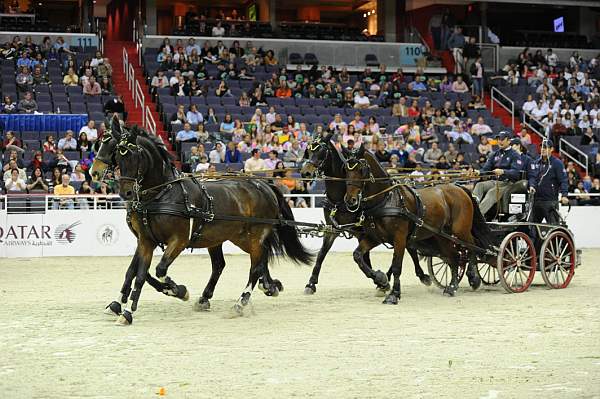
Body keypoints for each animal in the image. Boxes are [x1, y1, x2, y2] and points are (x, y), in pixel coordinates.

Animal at [92, 119, 314, 324]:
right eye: (118, 154)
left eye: (132, 155)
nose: (125, 192)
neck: (162, 193)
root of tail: (264, 185)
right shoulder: (146, 240)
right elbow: (137, 273)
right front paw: (123, 310)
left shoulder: (178, 241)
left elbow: (158, 270)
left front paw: (177, 290)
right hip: (232, 237)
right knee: (233, 262)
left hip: (253, 235)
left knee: (255, 266)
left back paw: (241, 302)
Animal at [300, 134, 432, 294]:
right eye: (308, 151)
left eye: (321, 152)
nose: (305, 172)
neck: (340, 198)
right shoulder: (332, 229)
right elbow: (322, 253)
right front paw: (311, 283)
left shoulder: (363, 232)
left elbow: (363, 257)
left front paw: (380, 280)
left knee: (409, 248)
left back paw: (421, 276)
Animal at [342, 145, 492, 304]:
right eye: (346, 169)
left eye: (361, 169)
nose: (350, 200)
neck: (387, 199)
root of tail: (459, 188)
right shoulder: (375, 238)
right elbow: (357, 255)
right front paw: (381, 279)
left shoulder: (399, 238)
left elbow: (397, 266)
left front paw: (394, 294)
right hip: (442, 236)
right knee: (454, 257)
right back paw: (452, 287)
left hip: (460, 230)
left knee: (472, 246)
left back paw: (473, 277)